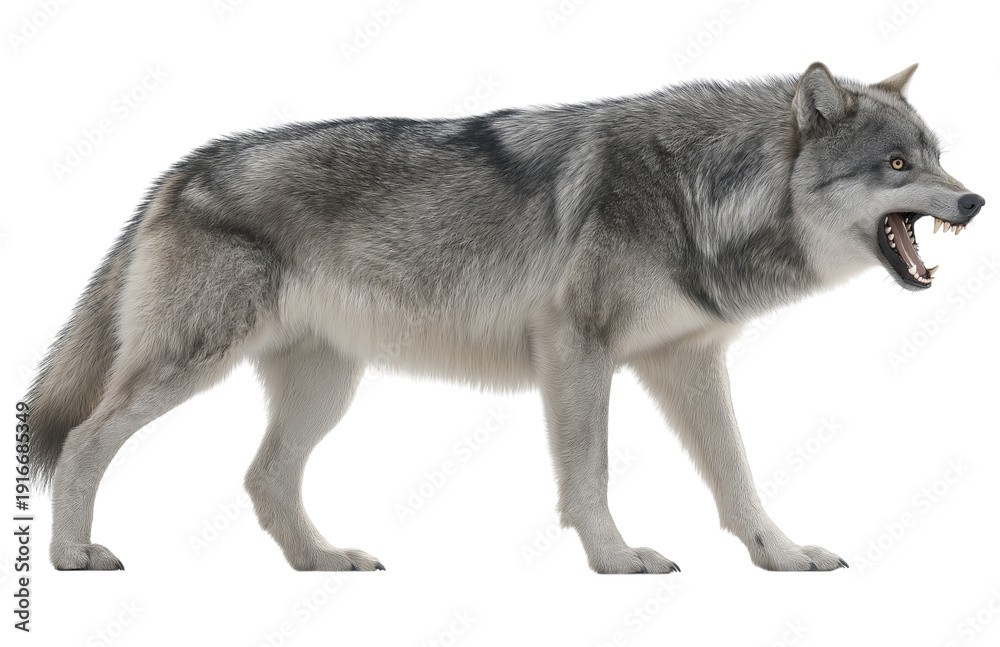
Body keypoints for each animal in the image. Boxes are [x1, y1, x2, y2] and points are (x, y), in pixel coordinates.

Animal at [27, 62, 984, 573]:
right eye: (898, 165)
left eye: (937, 156)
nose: (975, 201)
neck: (697, 195)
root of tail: (181, 167)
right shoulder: (576, 350)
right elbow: (590, 475)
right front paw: (616, 560)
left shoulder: (687, 360)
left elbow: (740, 478)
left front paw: (780, 556)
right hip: (196, 365)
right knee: (85, 439)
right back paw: (73, 556)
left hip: (326, 388)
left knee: (264, 477)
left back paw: (322, 562)